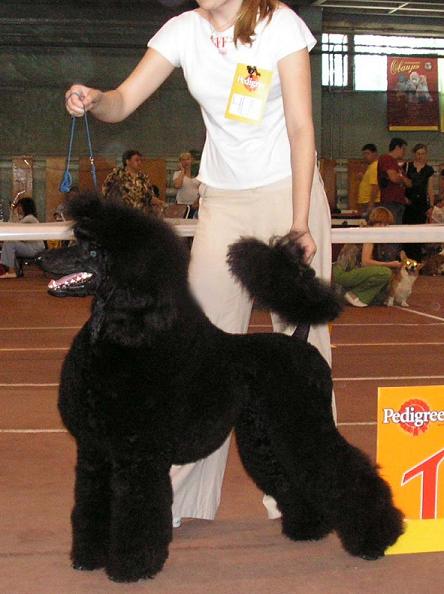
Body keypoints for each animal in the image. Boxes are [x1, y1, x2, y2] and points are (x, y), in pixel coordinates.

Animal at [38, 194, 403, 583]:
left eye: (92, 249)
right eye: (78, 238)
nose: (43, 259)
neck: (124, 335)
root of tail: (299, 339)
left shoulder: (137, 455)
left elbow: (137, 513)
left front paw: (131, 567)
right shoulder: (95, 451)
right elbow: (90, 505)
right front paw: (88, 557)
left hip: (303, 423)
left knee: (343, 471)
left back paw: (377, 539)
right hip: (264, 435)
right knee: (287, 474)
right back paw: (308, 527)